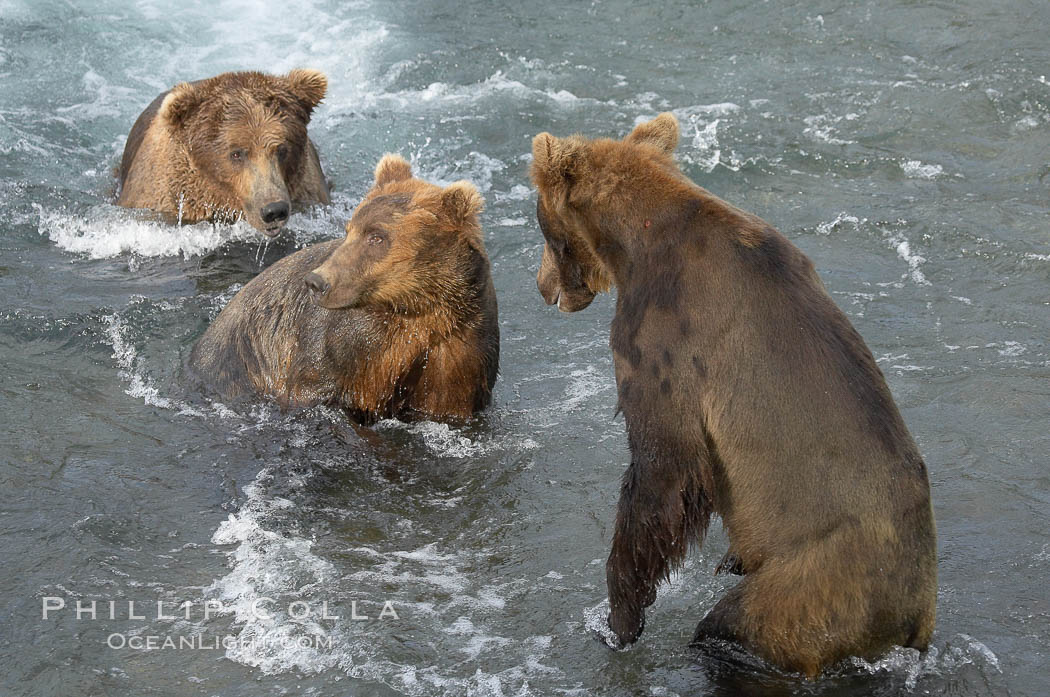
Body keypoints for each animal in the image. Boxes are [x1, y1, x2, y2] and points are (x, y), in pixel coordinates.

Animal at [189, 154, 499, 423]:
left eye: (377, 237)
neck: (415, 307)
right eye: (350, 229)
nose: (317, 282)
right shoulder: (342, 344)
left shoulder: (457, 348)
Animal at [529, 113, 937, 679]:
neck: (632, 245)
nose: (542, 286)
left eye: (542, 226)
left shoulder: (667, 340)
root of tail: (915, 617)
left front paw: (618, 620)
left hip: (815, 587)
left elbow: (662, 466)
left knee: (734, 625)